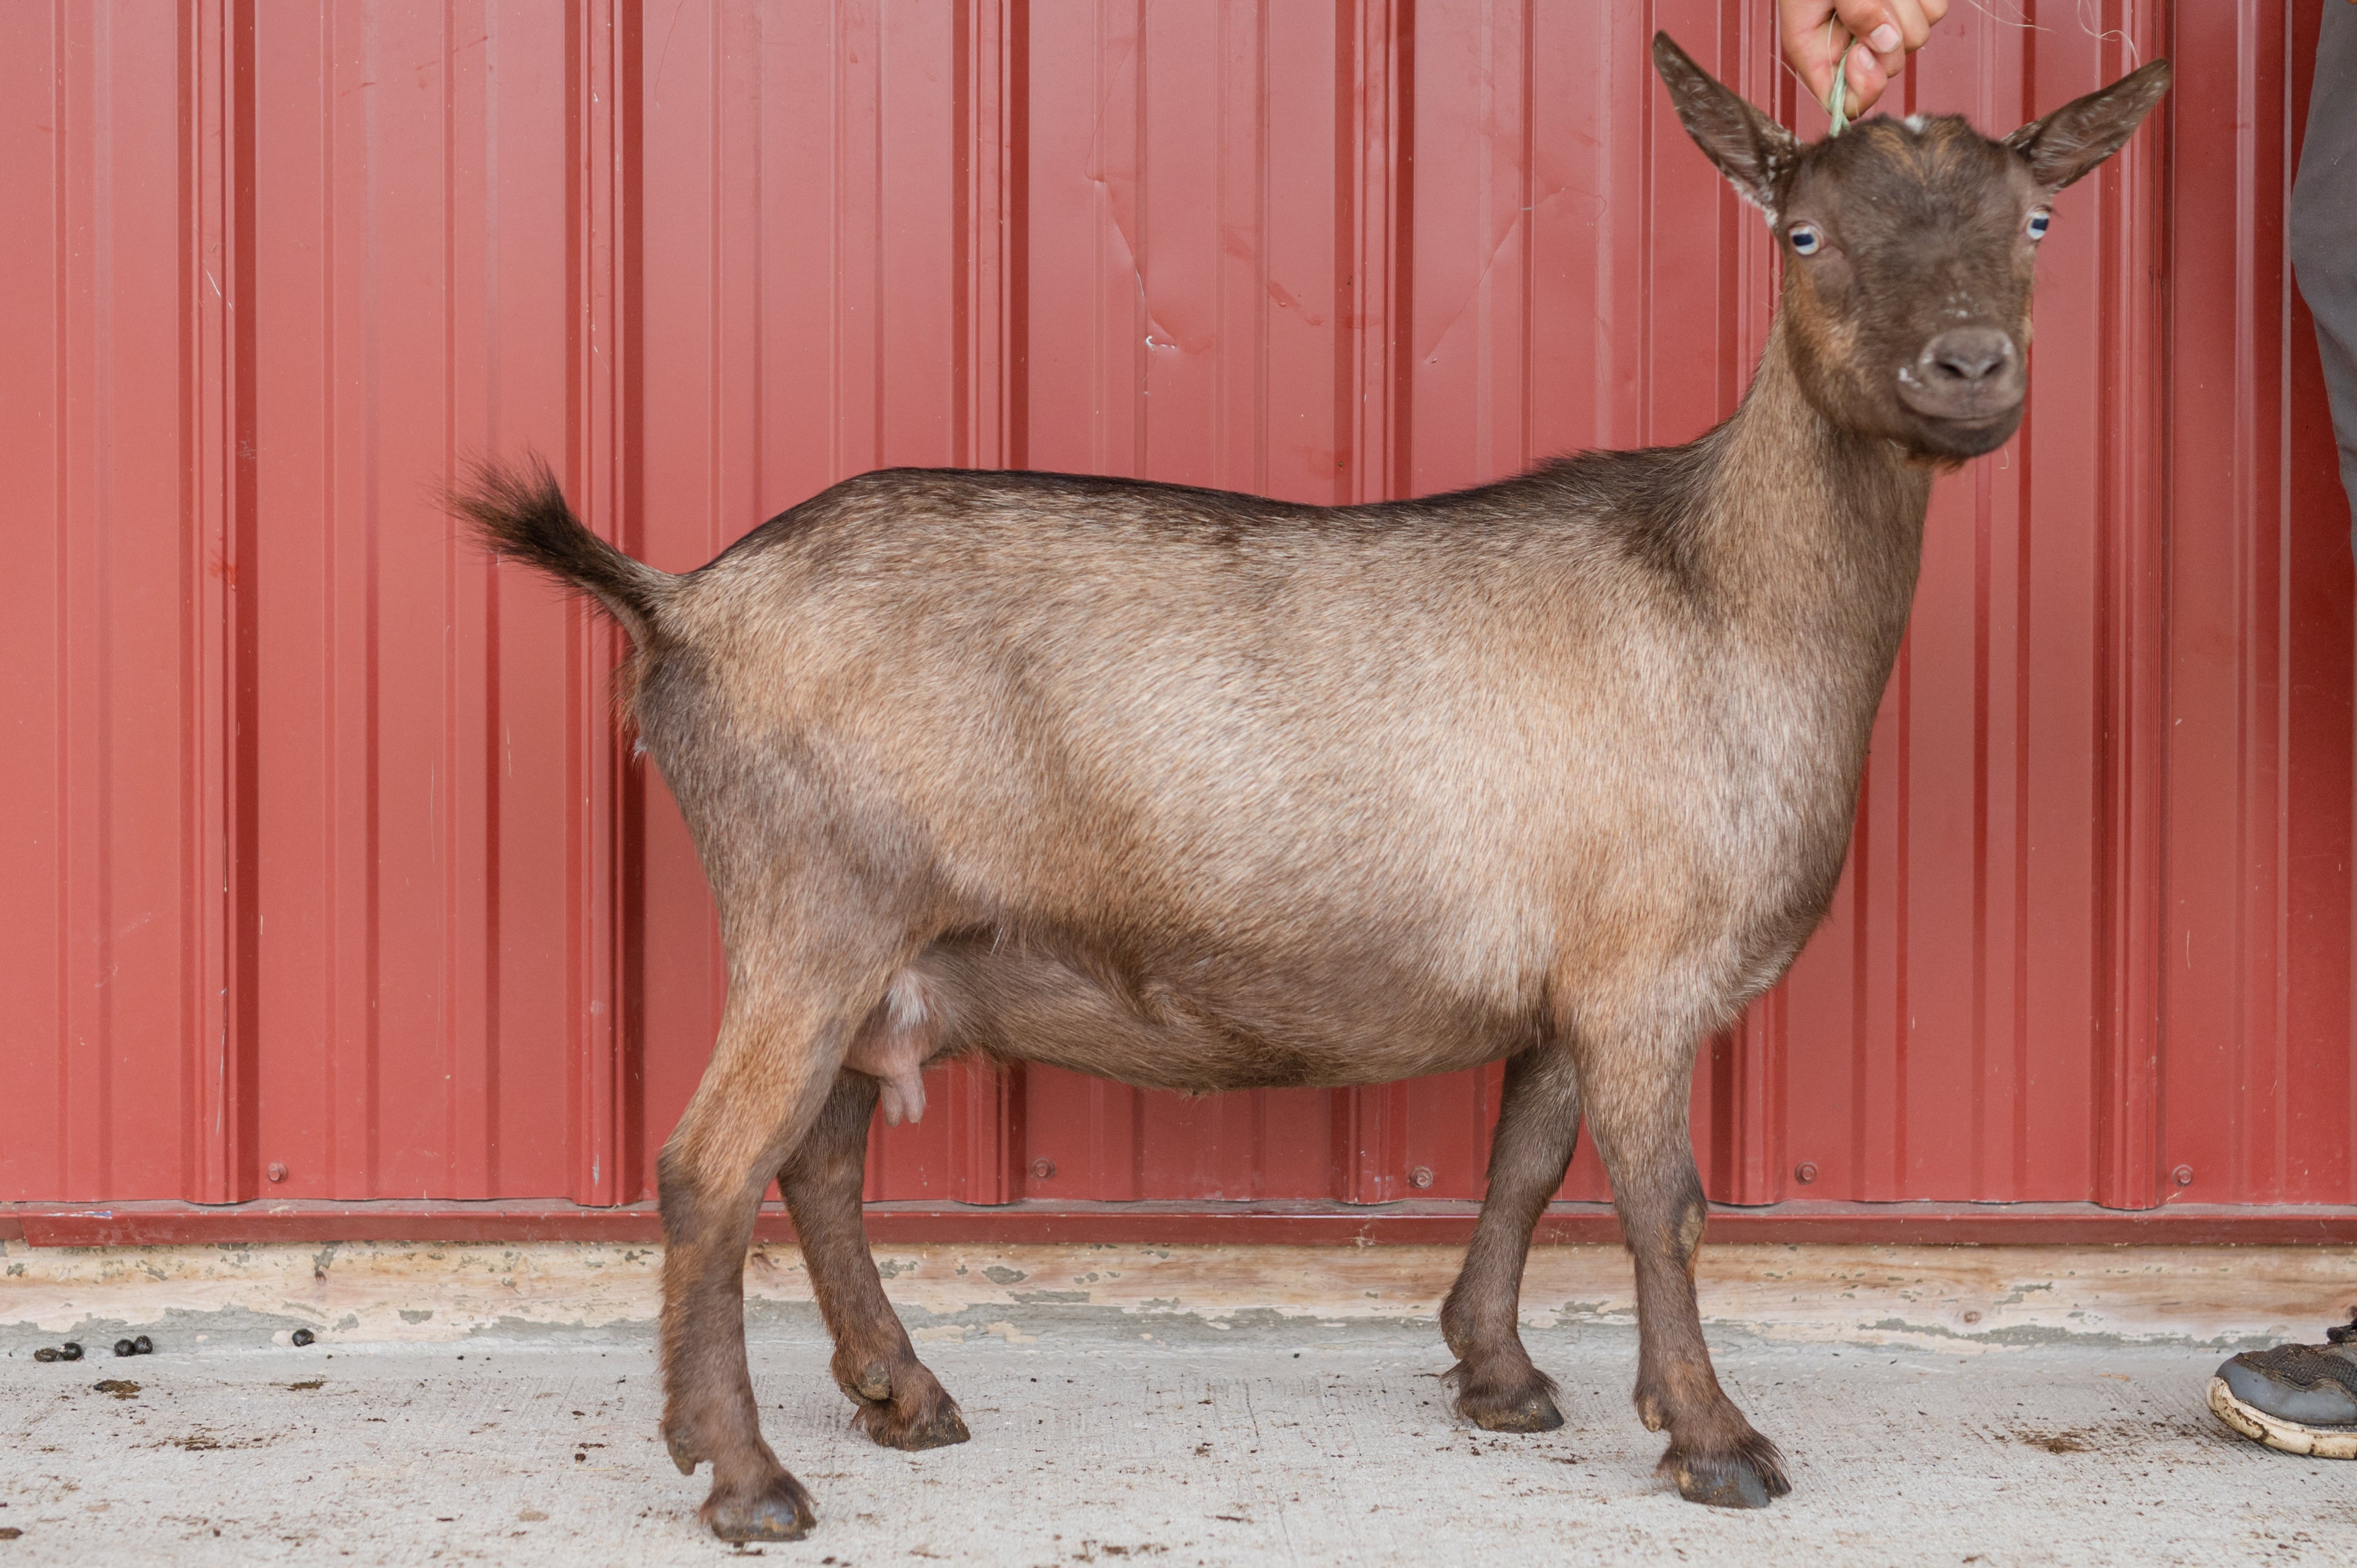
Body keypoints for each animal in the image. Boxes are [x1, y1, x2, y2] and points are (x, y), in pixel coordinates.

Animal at [445, 36, 2168, 1537]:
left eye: (2034, 218)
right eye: (1803, 231)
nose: (1967, 366)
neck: (1718, 596)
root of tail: (684, 601)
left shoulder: (1565, 979)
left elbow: (1526, 1163)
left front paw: (1498, 1373)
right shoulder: (1644, 970)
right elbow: (1663, 1202)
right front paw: (1715, 1439)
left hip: (893, 945)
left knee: (816, 1158)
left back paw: (897, 1393)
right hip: (811, 908)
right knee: (708, 1167)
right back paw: (746, 1475)